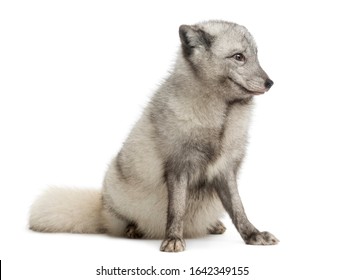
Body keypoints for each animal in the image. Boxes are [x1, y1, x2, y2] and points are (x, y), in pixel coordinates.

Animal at [30, 19, 280, 252]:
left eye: (256, 56)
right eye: (238, 57)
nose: (270, 83)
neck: (221, 121)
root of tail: (101, 209)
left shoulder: (226, 170)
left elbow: (238, 209)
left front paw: (253, 235)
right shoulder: (177, 168)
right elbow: (176, 209)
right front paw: (173, 238)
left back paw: (212, 225)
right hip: (115, 190)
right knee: (119, 223)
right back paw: (133, 229)